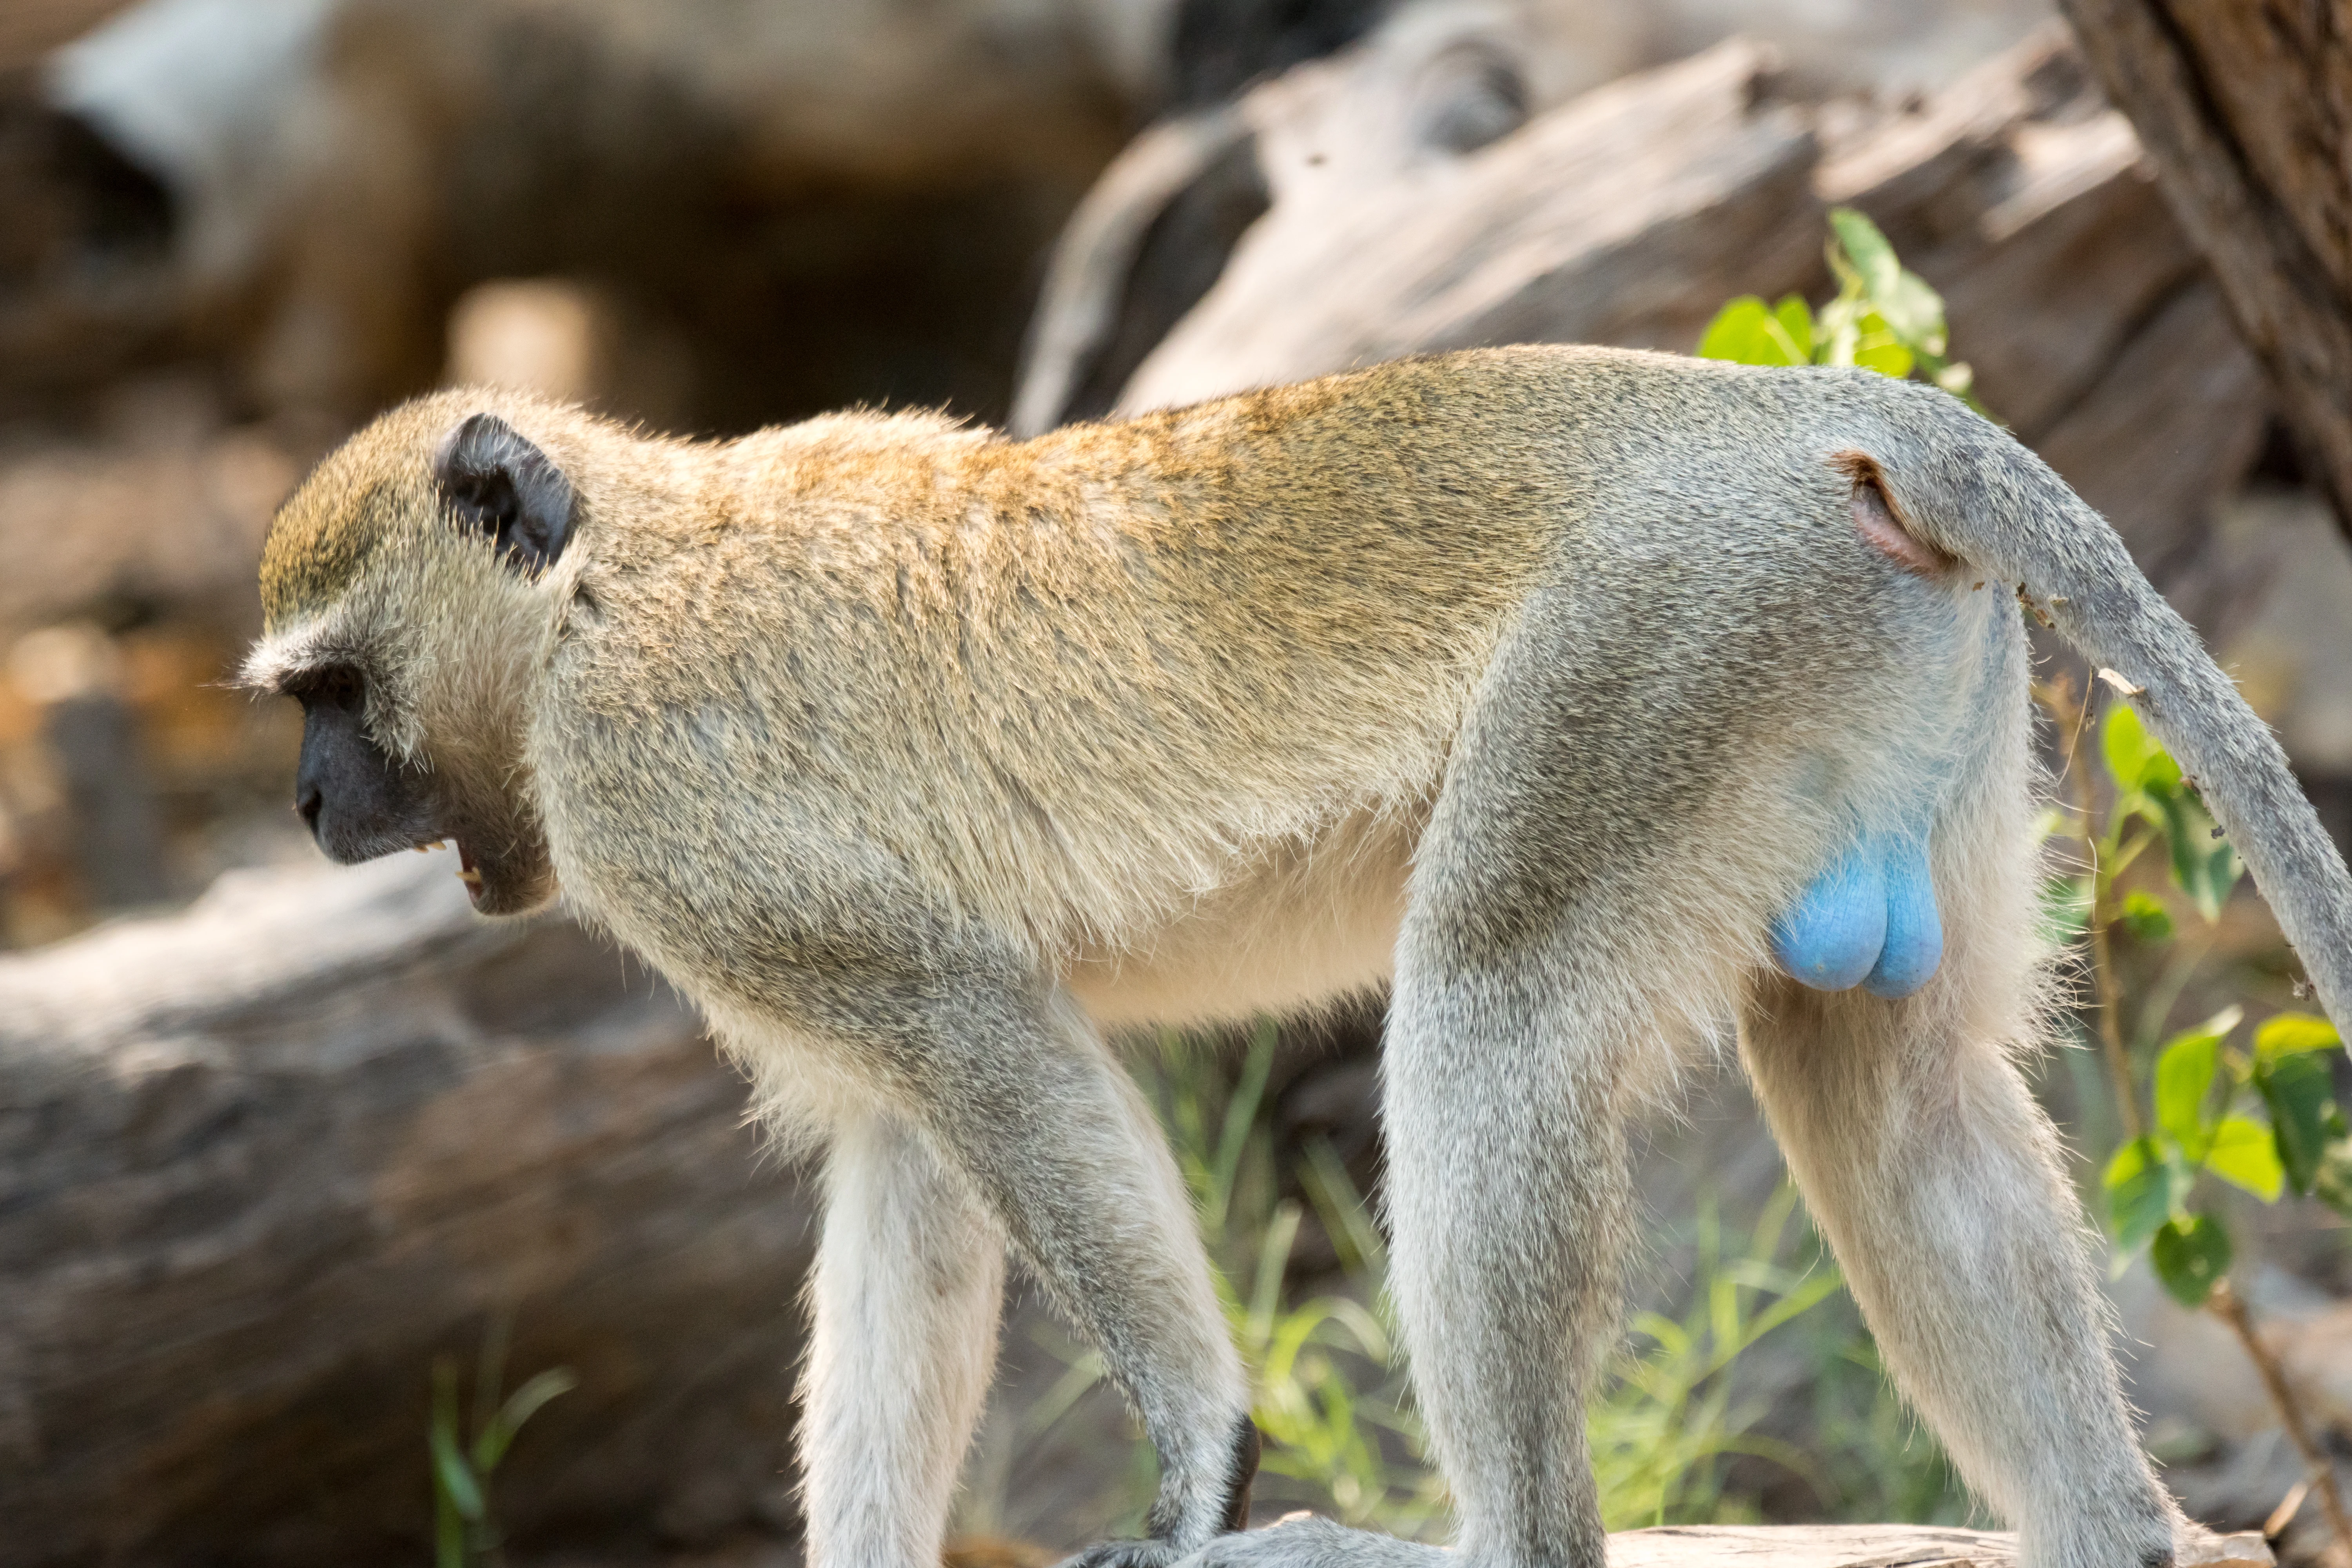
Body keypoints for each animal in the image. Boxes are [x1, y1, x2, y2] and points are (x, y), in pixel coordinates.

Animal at [242, 344, 2352, 1568]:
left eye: (332, 690)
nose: (310, 803)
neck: (608, 580)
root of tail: (1802, 416)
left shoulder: (670, 808)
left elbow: (986, 1049)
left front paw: (1201, 1470)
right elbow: (913, 1174)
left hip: (1656, 650)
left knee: (1492, 1001)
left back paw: (1497, 1539)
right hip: (1857, 679)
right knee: (1896, 1094)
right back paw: (2118, 1533)